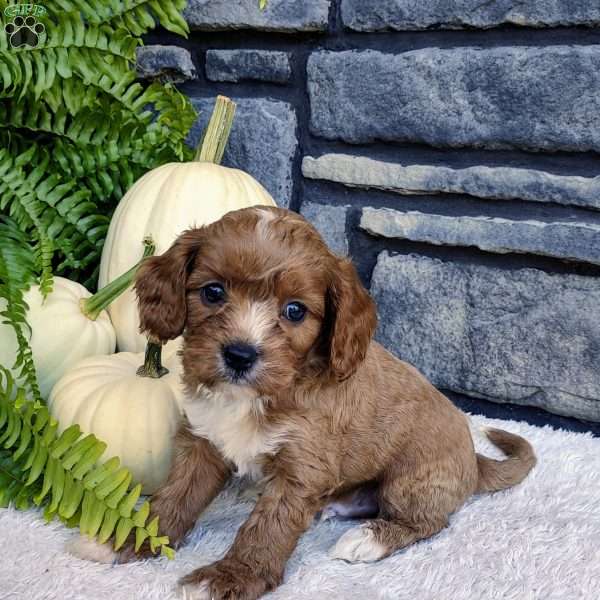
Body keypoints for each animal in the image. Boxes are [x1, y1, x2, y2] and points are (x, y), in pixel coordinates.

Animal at [70, 207, 536, 600]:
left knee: (429, 521)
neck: (257, 397)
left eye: (295, 311)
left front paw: (229, 578)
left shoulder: (302, 468)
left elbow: (267, 528)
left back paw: (370, 538)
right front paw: (129, 539)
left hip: (413, 479)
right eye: (213, 292)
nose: (240, 355)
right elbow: (173, 497)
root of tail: (474, 459)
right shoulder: (203, 442)